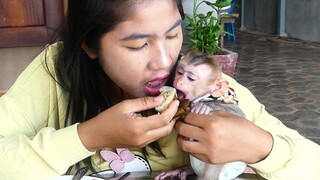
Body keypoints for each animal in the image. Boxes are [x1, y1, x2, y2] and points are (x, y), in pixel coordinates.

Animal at [156, 50, 248, 180]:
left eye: (190, 78)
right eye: (180, 72)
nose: (178, 81)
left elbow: (238, 114)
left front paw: (204, 107)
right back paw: (185, 170)